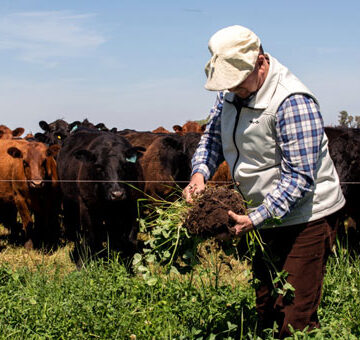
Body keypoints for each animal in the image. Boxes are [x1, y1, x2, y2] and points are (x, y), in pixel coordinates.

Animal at [57, 126, 144, 266]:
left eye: (125, 165)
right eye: (98, 167)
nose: (117, 194)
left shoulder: (133, 206)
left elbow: (130, 238)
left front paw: (133, 264)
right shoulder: (86, 206)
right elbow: (89, 236)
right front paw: (82, 264)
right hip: (69, 202)